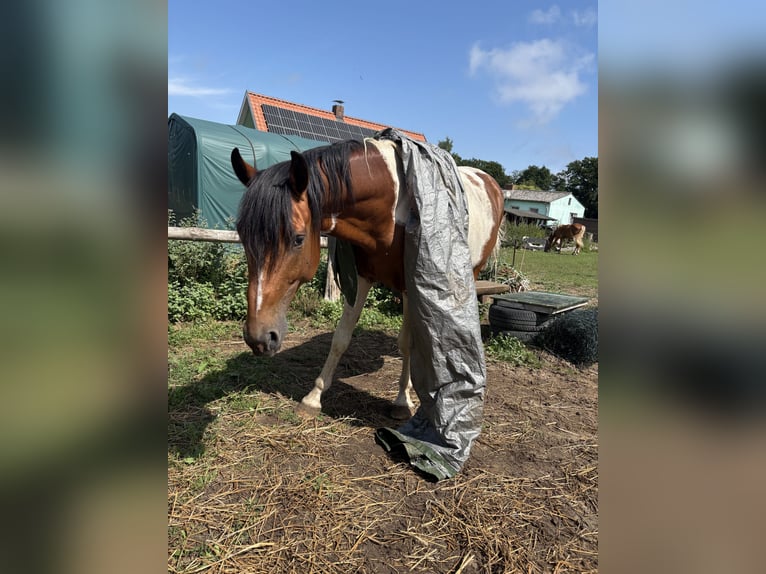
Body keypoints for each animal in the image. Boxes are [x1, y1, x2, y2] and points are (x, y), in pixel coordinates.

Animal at [231, 137, 505, 420]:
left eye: (298, 239)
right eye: (242, 234)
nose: (259, 338)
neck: (392, 208)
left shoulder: (409, 286)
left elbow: (406, 343)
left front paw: (402, 401)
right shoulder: (361, 278)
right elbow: (341, 338)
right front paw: (313, 398)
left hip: (469, 272)